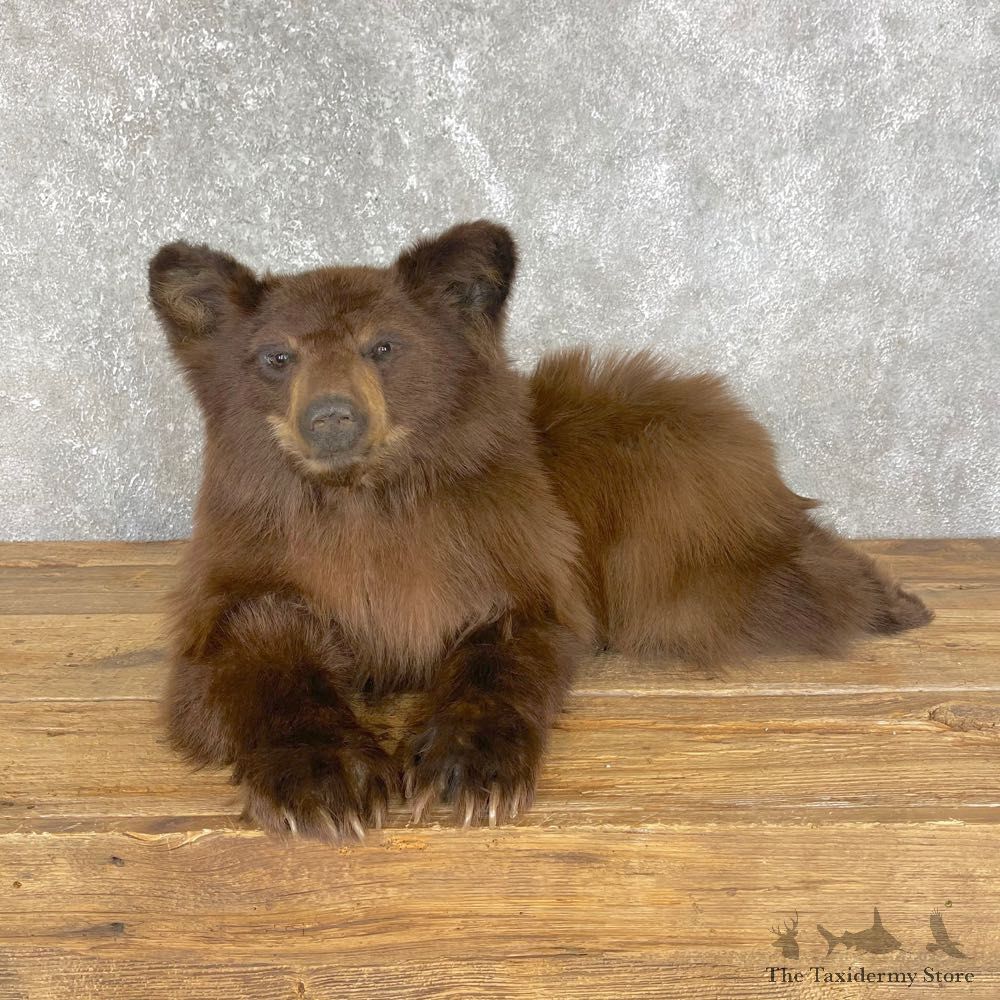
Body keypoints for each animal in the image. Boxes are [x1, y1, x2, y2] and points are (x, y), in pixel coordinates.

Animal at [147, 219, 932, 842]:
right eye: (276, 357)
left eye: (384, 348)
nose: (332, 416)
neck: (364, 503)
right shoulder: (254, 561)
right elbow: (249, 650)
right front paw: (323, 782)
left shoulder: (504, 548)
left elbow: (516, 639)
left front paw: (471, 769)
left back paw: (893, 600)